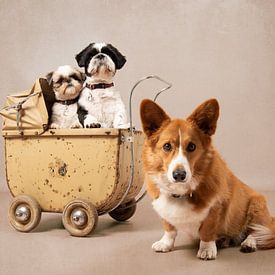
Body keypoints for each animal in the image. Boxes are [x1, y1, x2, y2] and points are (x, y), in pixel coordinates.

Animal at [141, 98, 274, 260]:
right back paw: (225, 240)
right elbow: (169, 228)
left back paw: (248, 244)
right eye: (167, 146)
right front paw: (165, 244)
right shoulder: (164, 211)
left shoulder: (216, 207)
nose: (179, 175)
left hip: (257, 206)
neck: (181, 192)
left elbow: (207, 231)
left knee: (256, 232)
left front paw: (206, 250)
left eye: (192, 146)